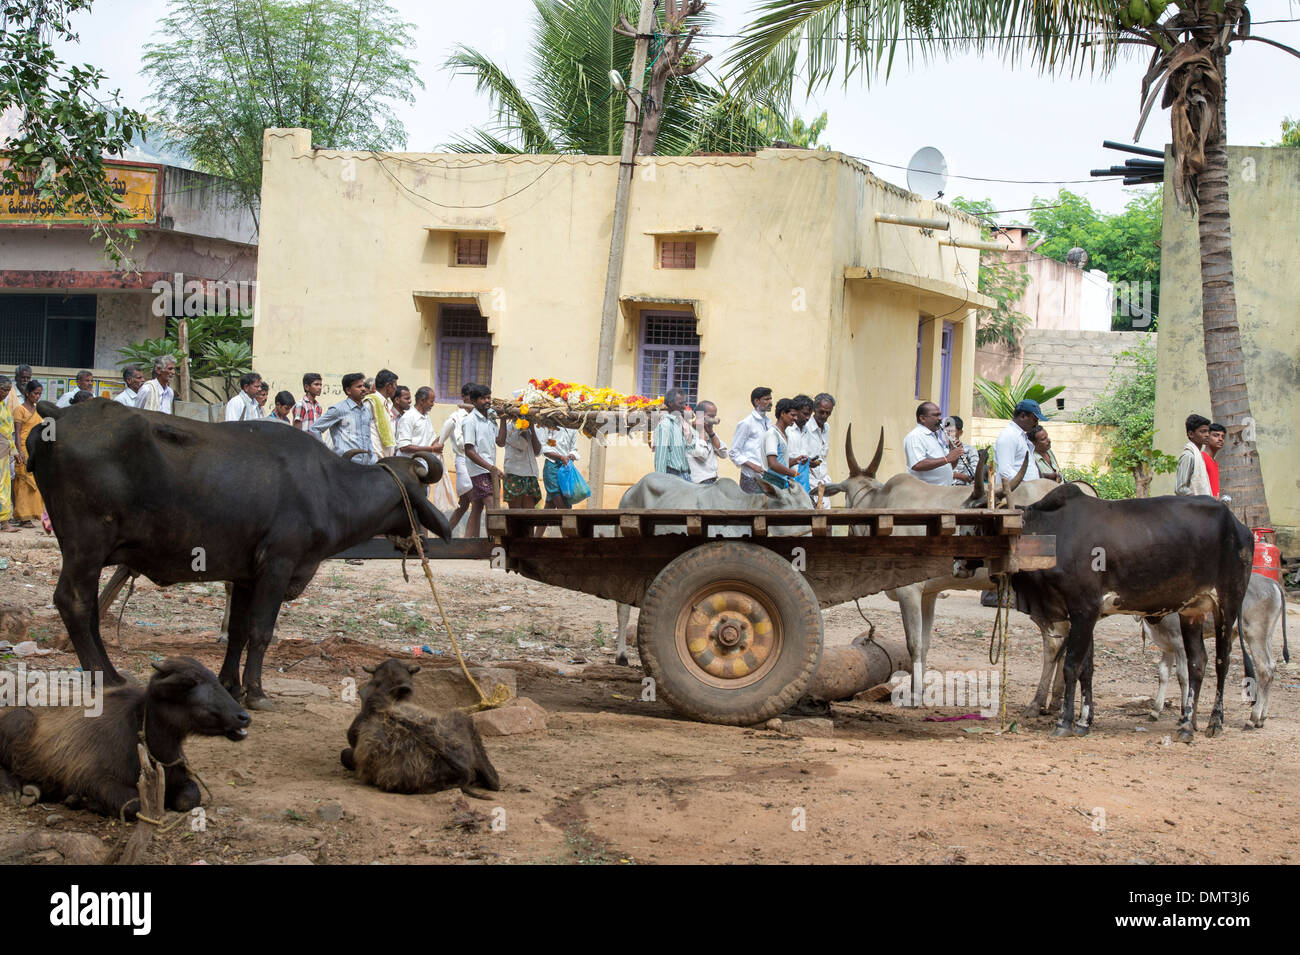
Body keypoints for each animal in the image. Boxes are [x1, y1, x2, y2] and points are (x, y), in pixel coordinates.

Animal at [0, 657, 250, 821]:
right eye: (188, 683)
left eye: (216, 680)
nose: (244, 717)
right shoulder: (95, 780)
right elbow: (134, 804)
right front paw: (80, 800)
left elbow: (190, 798)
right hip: (19, 721)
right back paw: (12, 789)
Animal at [26, 397, 452, 712]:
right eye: (418, 492)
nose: (423, 540)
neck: (328, 488)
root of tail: (59, 415)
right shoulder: (278, 566)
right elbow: (261, 632)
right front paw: (257, 691)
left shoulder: (246, 575)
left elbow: (238, 632)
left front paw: (230, 684)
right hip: (86, 546)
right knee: (73, 602)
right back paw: (104, 678)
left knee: (89, 610)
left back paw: (110, 675)